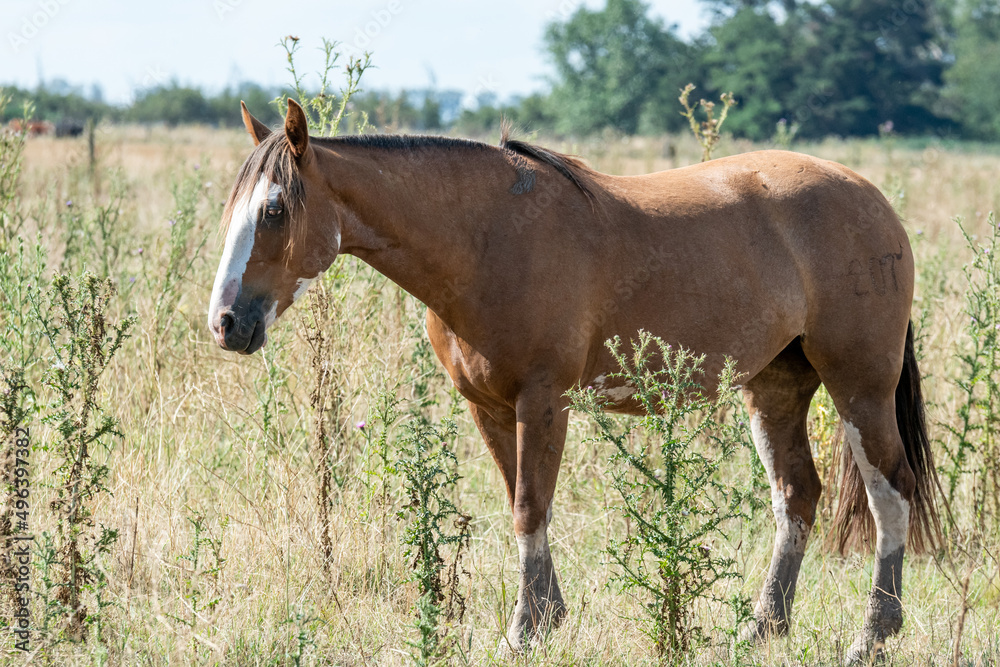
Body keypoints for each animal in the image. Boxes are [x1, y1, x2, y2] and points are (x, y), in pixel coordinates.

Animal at [205, 100, 936, 664]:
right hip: (775, 387)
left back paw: (872, 634)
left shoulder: (543, 401)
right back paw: (762, 628)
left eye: (275, 210)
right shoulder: (489, 407)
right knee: (796, 495)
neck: (484, 240)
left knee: (890, 492)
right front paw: (548, 618)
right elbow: (521, 504)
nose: (226, 322)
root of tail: (871, 198)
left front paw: (524, 631)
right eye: (232, 208)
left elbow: (532, 506)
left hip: (860, 386)